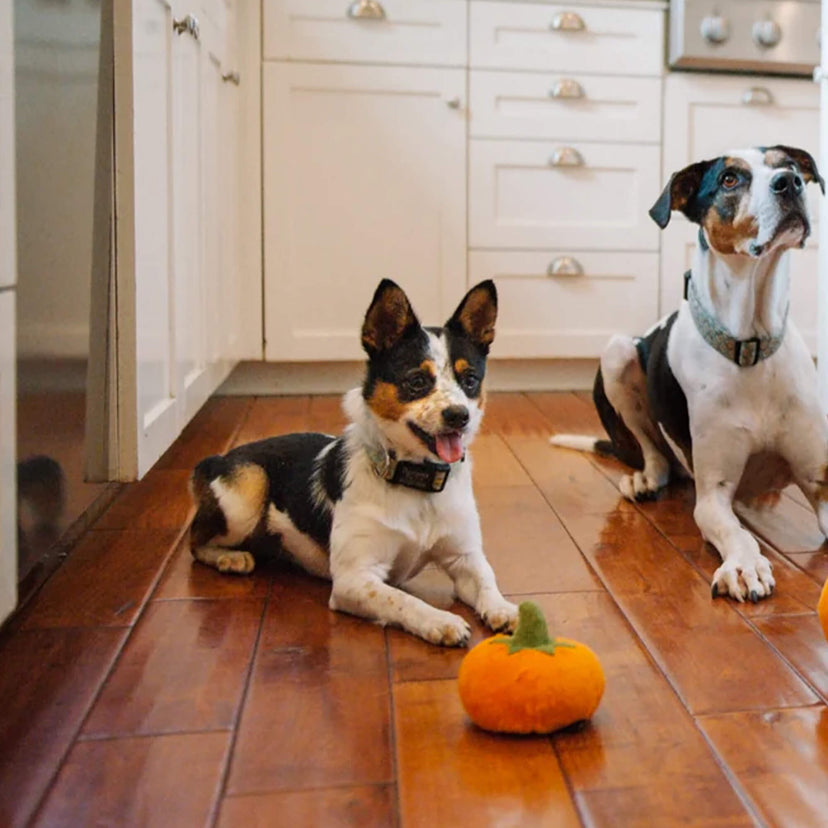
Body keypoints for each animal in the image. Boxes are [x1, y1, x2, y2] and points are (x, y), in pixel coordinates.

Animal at [192, 282, 520, 644]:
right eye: (417, 381)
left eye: (470, 380)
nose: (459, 416)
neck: (417, 483)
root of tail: (218, 458)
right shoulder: (355, 579)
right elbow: (403, 599)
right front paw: (440, 620)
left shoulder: (464, 557)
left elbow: (486, 579)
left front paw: (505, 609)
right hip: (247, 490)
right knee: (195, 542)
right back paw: (229, 557)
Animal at [548, 146, 828, 600]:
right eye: (730, 179)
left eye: (786, 164)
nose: (790, 183)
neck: (751, 344)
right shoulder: (713, 495)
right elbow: (736, 532)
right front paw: (745, 564)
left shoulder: (818, 480)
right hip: (617, 354)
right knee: (656, 454)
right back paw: (644, 479)